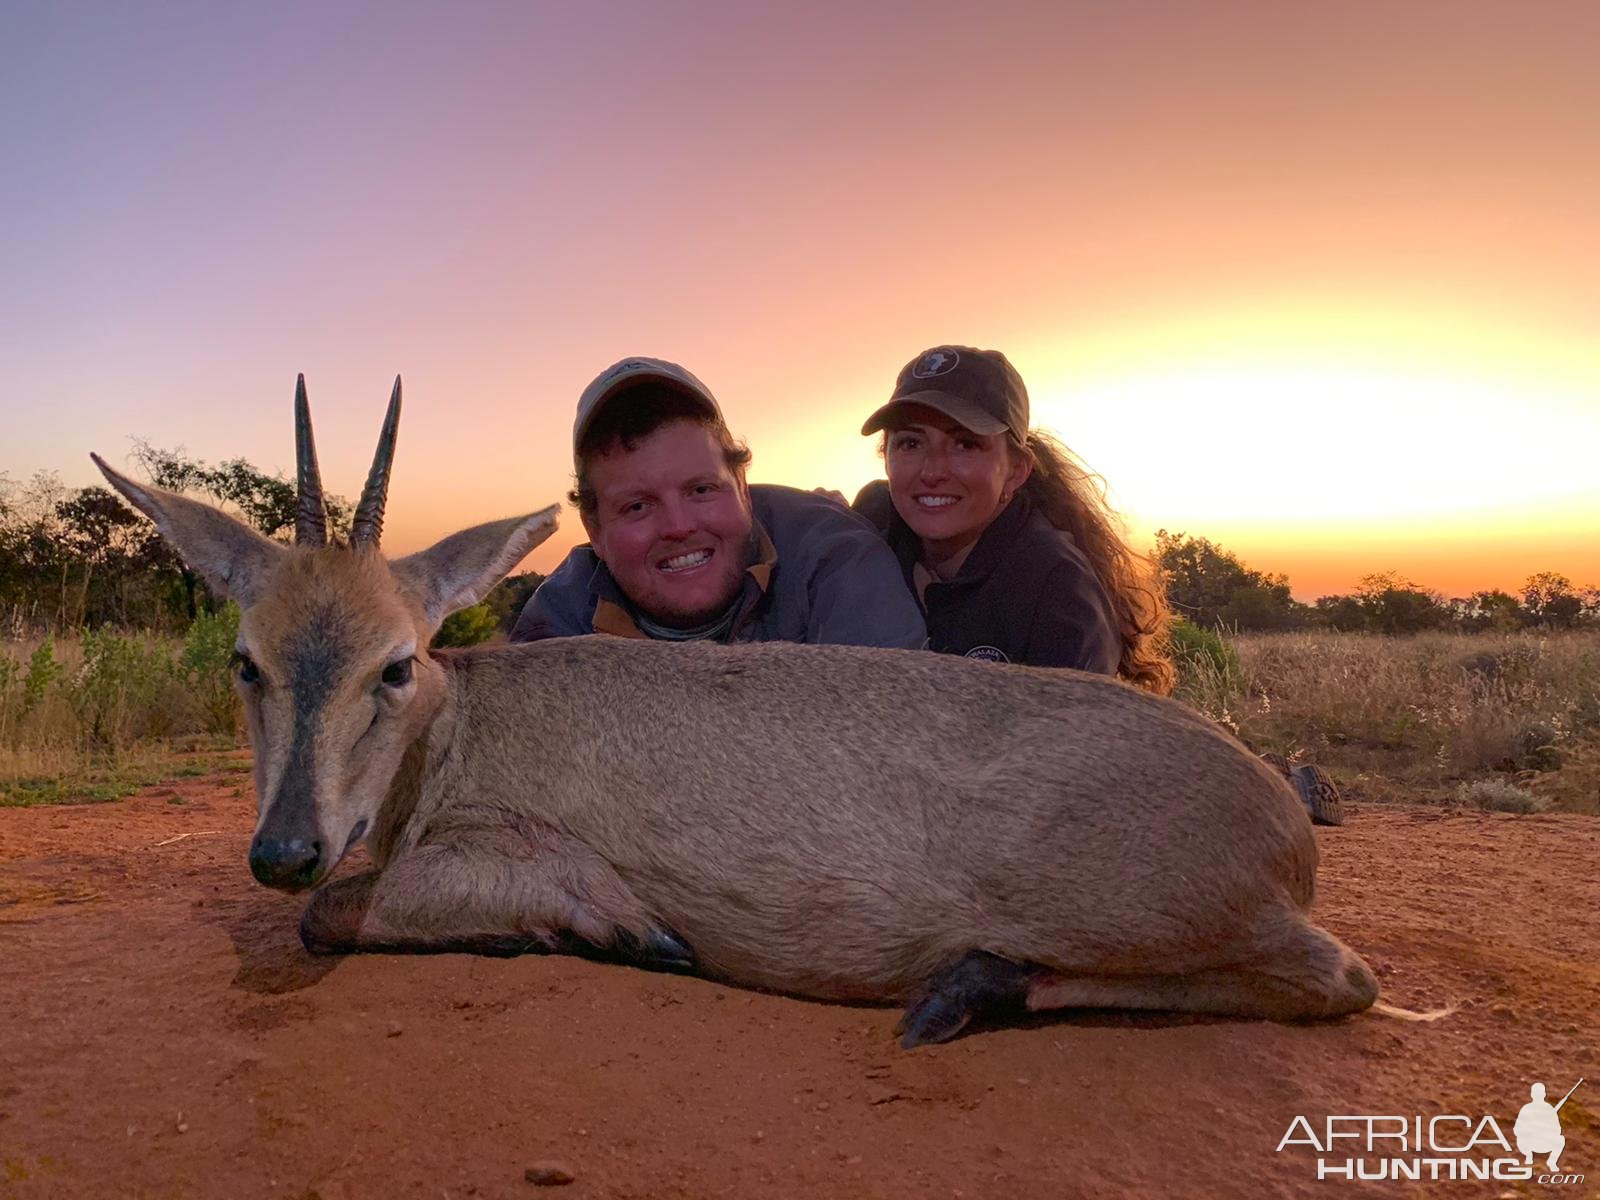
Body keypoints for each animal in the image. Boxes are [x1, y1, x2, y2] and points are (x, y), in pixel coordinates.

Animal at [93, 380, 1382, 1049]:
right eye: (246, 662)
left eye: (395, 665)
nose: (283, 850)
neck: (468, 726)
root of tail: (1282, 818)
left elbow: (337, 918)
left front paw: (613, 934)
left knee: (1341, 982)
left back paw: (970, 987)